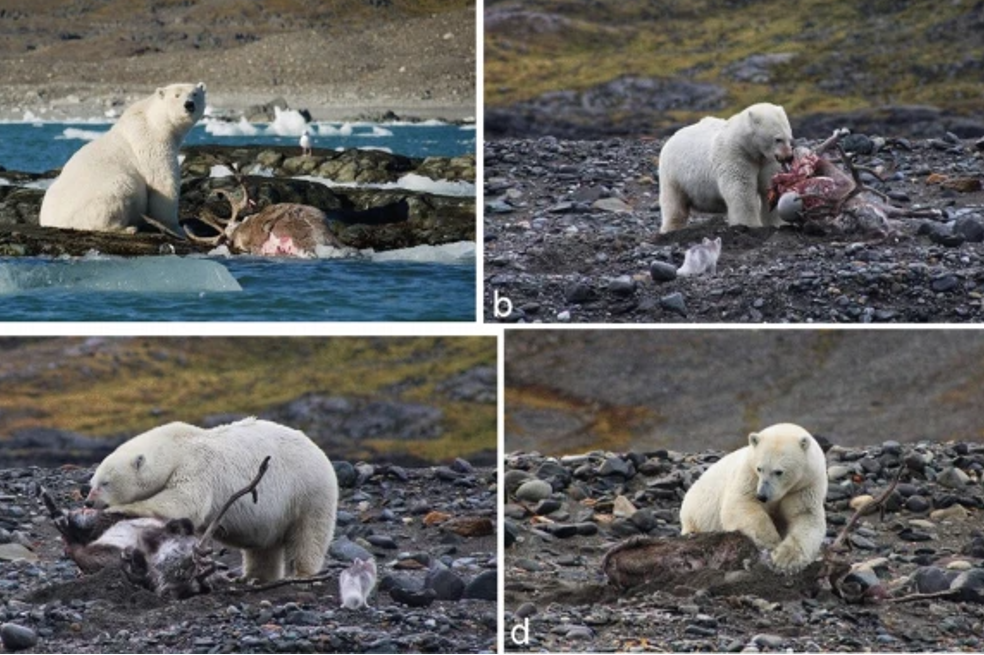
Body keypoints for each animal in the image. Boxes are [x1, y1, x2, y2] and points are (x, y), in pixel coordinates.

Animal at [39, 82, 207, 234]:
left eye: (195, 94)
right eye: (176, 95)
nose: (189, 104)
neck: (154, 121)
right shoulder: (150, 143)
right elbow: (162, 182)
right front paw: (177, 227)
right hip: (101, 194)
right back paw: (127, 228)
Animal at [85, 417, 338, 583]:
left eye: (105, 483)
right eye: (92, 483)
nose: (88, 502)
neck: (175, 447)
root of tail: (320, 452)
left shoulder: (197, 466)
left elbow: (184, 500)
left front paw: (121, 509)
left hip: (308, 492)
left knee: (309, 535)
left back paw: (302, 573)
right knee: (264, 547)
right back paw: (252, 577)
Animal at [658, 102, 794, 233]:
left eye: (790, 138)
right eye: (778, 139)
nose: (788, 156)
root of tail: (673, 136)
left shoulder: (767, 160)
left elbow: (770, 185)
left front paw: (777, 223)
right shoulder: (734, 155)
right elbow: (741, 188)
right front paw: (749, 225)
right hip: (673, 172)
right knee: (674, 202)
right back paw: (671, 228)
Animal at [679, 422, 828, 573]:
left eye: (779, 472)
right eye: (759, 468)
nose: (762, 496)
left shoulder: (805, 485)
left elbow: (805, 516)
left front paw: (785, 559)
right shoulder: (749, 475)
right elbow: (741, 503)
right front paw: (771, 540)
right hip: (696, 513)